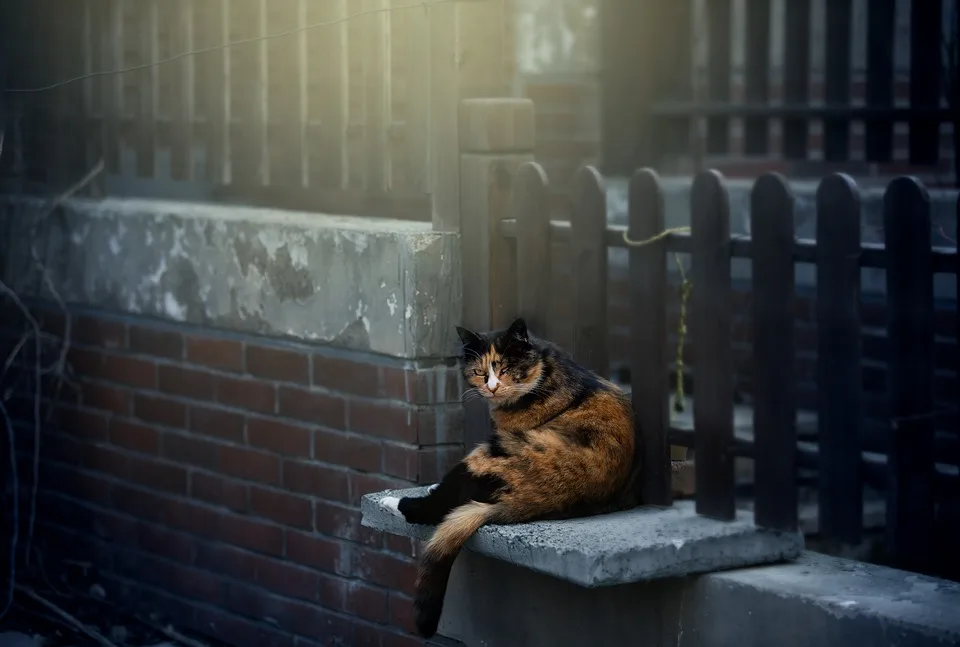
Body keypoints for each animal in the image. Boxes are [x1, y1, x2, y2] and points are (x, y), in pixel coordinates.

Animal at [382, 318, 636, 636]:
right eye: (480, 372)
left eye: (504, 369)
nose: (492, 387)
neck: (545, 370)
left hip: (492, 452)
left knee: (434, 507)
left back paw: (394, 503)